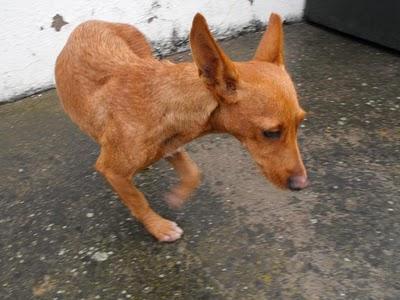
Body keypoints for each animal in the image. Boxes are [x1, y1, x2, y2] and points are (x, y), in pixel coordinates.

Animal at [54, 13, 308, 241]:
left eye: (300, 123)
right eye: (271, 133)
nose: (303, 185)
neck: (165, 105)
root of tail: (90, 22)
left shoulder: (173, 147)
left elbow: (194, 173)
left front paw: (177, 196)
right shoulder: (111, 170)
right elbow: (138, 200)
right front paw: (159, 227)